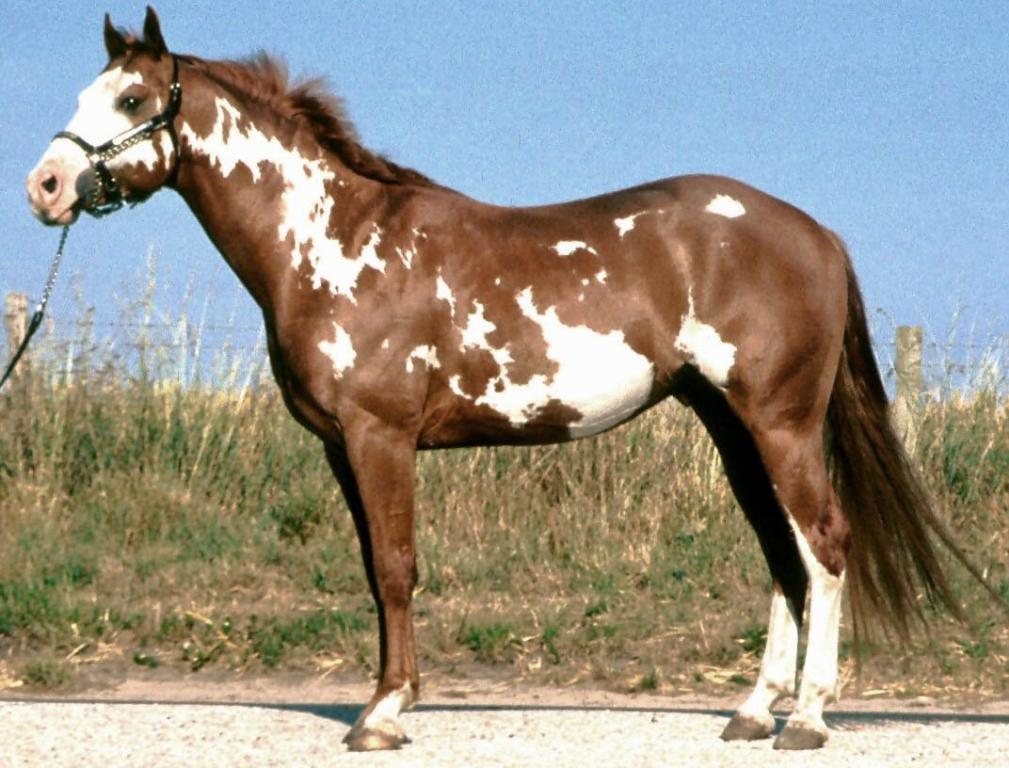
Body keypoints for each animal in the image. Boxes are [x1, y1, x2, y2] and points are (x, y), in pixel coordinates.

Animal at [26, 7, 968, 752]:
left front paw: (383, 714)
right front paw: (391, 700)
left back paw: (805, 718)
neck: (334, 241)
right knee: (782, 552)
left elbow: (395, 567)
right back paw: (750, 710)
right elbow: (372, 568)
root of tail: (815, 233)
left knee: (824, 543)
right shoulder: (341, 449)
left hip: (778, 423)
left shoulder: (379, 438)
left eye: (132, 101)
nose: (45, 186)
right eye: (84, 95)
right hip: (731, 429)